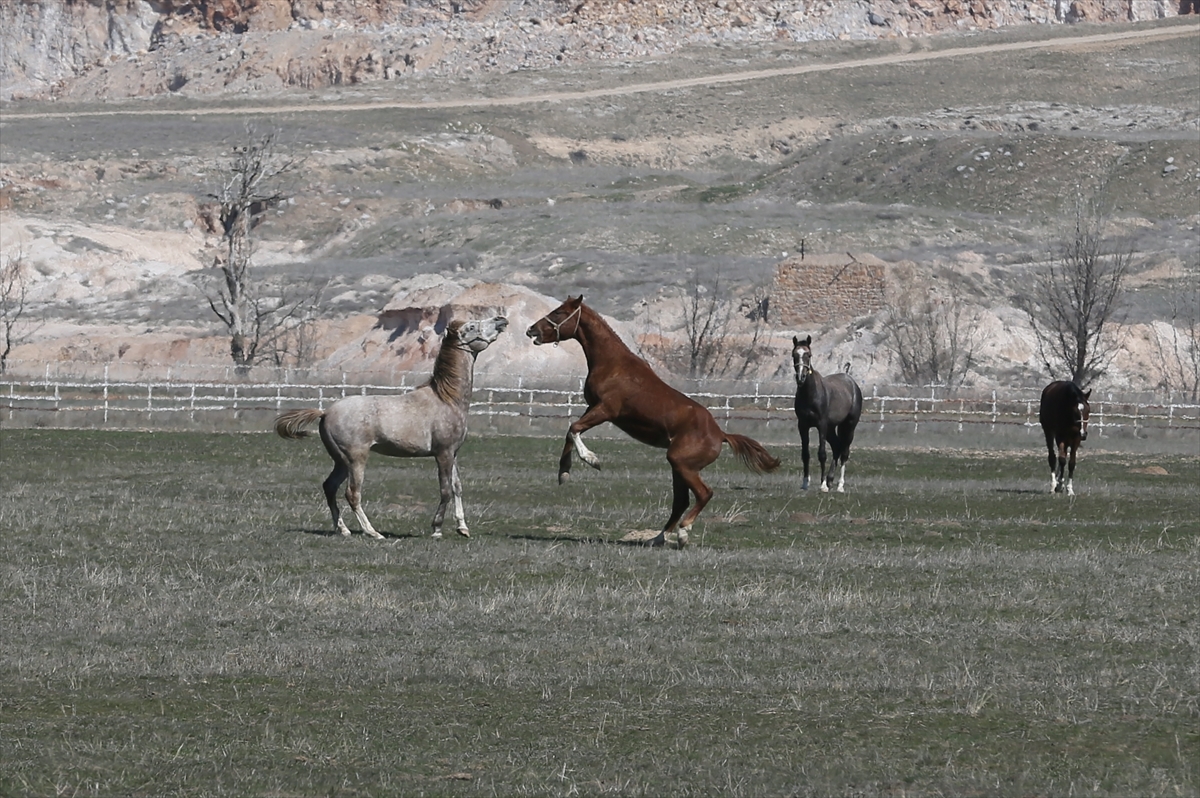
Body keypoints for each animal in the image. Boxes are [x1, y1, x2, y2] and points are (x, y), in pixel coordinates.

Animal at [274, 316, 506, 535]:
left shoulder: (453, 453)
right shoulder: (443, 454)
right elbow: (445, 490)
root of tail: (326, 413)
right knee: (352, 494)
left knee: (330, 487)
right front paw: (437, 529)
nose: (500, 320)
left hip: (341, 462)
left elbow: (457, 487)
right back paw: (372, 532)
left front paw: (462, 528)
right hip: (355, 460)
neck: (446, 399)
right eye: (471, 327)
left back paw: (344, 530)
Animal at [525, 294, 777, 547]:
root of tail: (721, 435)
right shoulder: (592, 407)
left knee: (704, 493)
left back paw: (683, 533)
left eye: (558, 312)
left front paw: (592, 460)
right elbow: (571, 431)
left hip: (682, 464)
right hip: (679, 467)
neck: (612, 363)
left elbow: (574, 428)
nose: (531, 330)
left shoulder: (606, 410)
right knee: (681, 501)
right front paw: (564, 473)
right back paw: (658, 538)